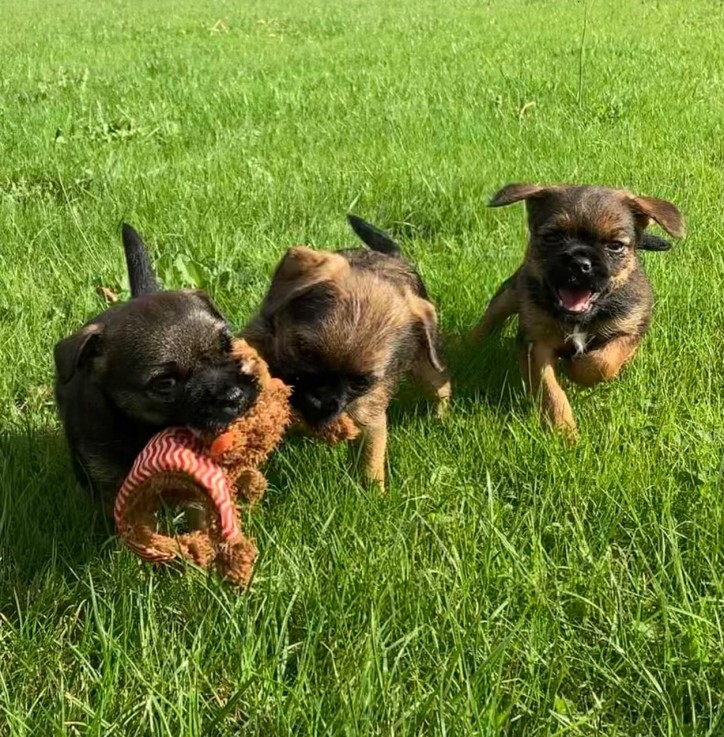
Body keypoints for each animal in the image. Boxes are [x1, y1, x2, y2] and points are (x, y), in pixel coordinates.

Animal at [243, 214, 450, 488]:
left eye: (362, 382)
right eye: (304, 351)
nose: (317, 401)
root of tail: (396, 257)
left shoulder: (369, 420)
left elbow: (370, 464)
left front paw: (372, 493)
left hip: (425, 364)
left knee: (443, 384)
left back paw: (440, 417)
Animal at [476, 183, 684, 436]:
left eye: (615, 246)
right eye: (552, 237)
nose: (579, 263)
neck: (579, 318)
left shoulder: (629, 329)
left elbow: (602, 363)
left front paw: (576, 370)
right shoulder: (537, 343)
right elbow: (550, 391)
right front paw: (563, 432)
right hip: (509, 294)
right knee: (487, 321)